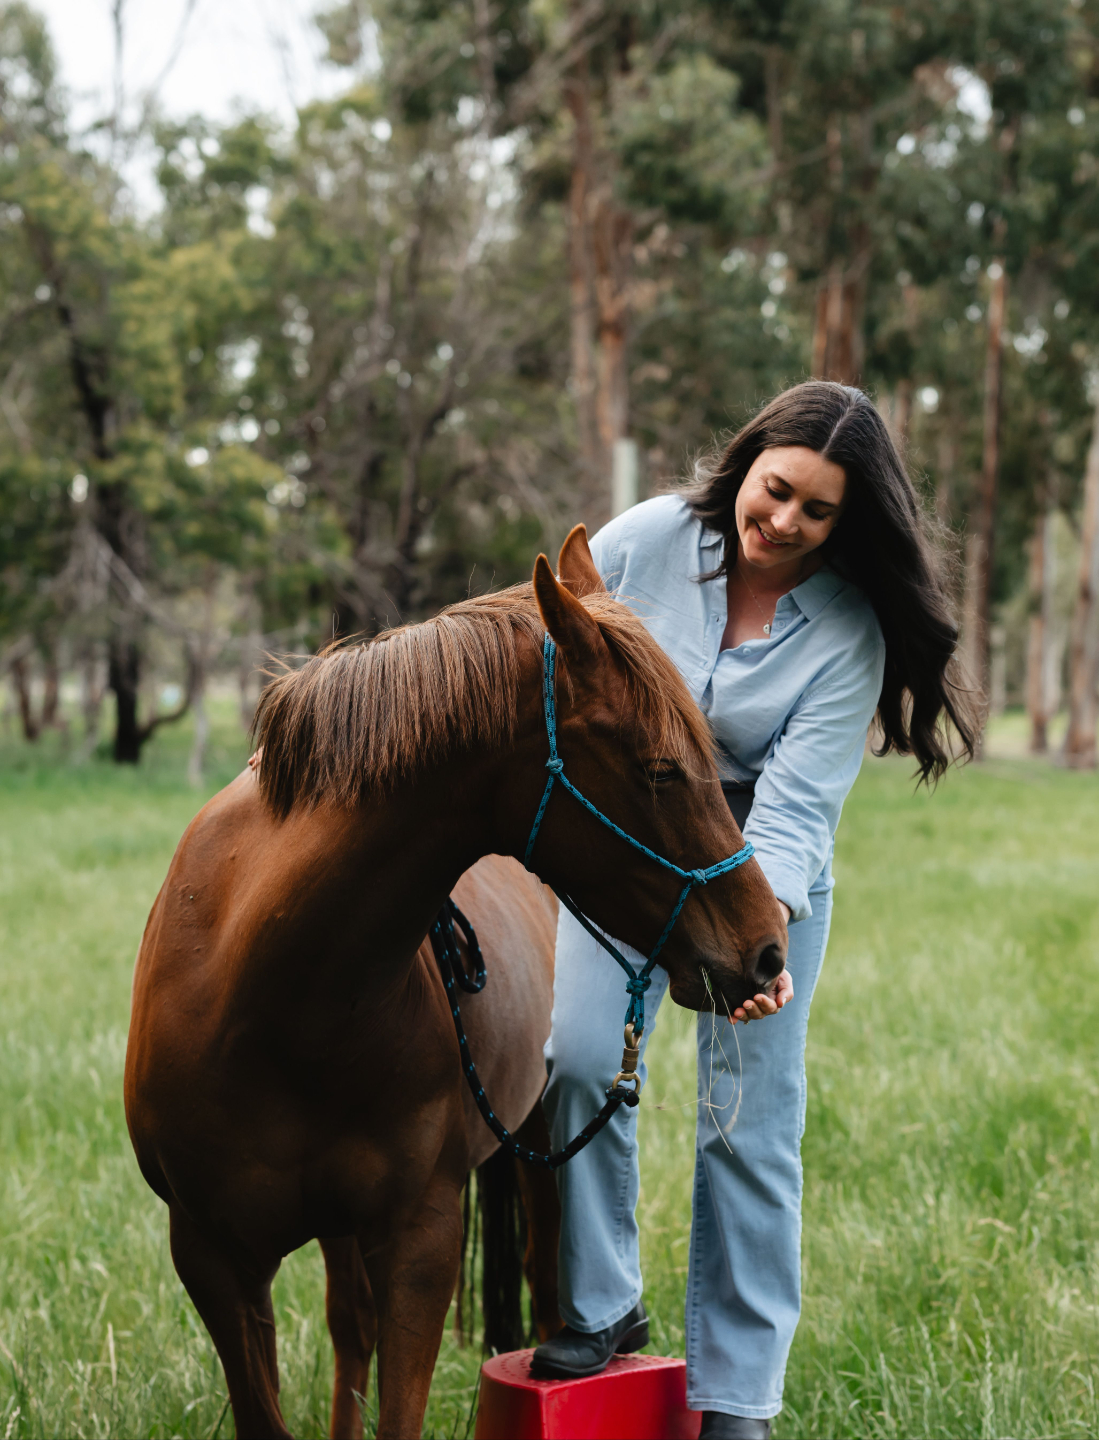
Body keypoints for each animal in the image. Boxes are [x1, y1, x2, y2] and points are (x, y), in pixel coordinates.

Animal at [123, 527, 788, 1439]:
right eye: (658, 770)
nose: (765, 951)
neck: (271, 998)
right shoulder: (213, 1258)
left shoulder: (419, 1241)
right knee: (349, 1328)